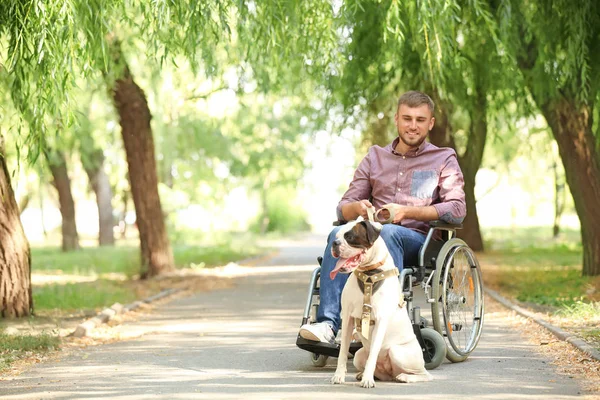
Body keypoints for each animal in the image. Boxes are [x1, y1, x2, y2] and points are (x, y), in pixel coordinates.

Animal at [328, 219, 432, 388]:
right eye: (336, 236)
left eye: (350, 237)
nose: (334, 243)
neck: (369, 274)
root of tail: (391, 374)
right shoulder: (348, 318)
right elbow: (343, 351)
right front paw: (339, 376)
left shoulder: (380, 321)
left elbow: (373, 353)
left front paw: (367, 380)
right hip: (359, 355)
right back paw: (363, 374)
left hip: (399, 353)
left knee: (425, 374)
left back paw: (405, 377)